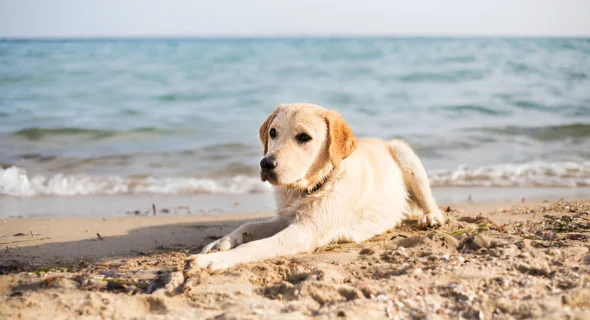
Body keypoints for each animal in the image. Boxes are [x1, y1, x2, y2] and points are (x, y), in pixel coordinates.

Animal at [187, 104, 446, 272]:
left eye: (304, 137)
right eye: (273, 132)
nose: (266, 164)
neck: (315, 185)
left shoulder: (307, 230)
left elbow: (255, 246)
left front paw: (215, 261)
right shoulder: (288, 218)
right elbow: (249, 226)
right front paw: (220, 243)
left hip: (405, 154)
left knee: (431, 202)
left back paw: (431, 217)